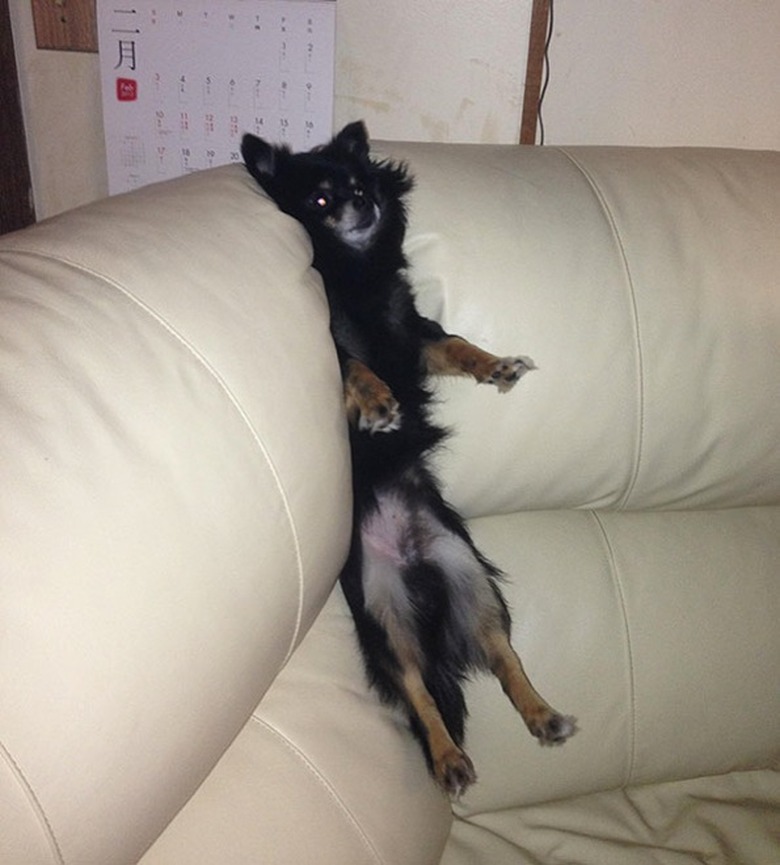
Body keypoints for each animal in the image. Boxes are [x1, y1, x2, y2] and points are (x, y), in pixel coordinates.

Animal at [239, 123, 572, 796]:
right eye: (319, 199)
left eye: (360, 184)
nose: (361, 202)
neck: (356, 274)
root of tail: (413, 557)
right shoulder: (340, 344)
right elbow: (353, 365)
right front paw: (377, 403)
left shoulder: (414, 334)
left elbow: (457, 343)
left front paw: (498, 365)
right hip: (382, 610)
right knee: (418, 689)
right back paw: (448, 760)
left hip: (471, 580)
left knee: (502, 656)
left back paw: (543, 715)